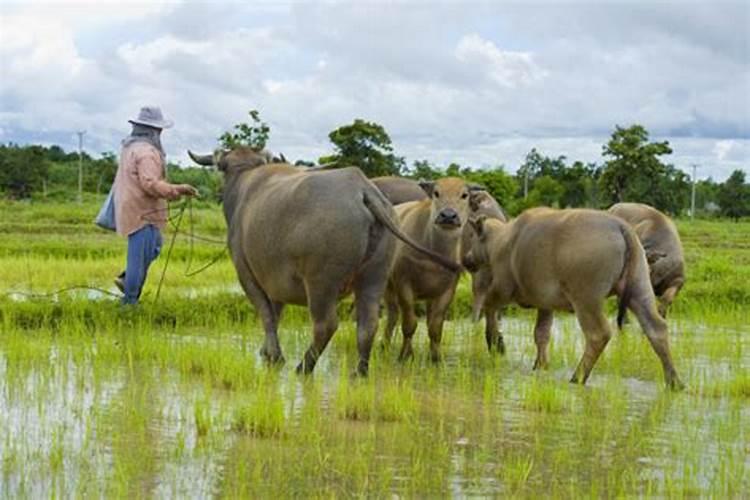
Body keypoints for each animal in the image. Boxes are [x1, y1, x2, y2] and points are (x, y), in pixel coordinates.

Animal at [187, 147, 464, 376]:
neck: (246, 182)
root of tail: (363, 190)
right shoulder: (274, 282)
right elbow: (275, 314)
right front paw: (266, 352)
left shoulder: (246, 273)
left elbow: (266, 314)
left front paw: (274, 356)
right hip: (375, 275)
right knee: (369, 323)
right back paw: (360, 371)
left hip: (321, 282)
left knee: (326, 325)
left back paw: (304, 366)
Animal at [468, 207, 684, 390]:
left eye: (473, 238)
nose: (467, 259)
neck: (502, 241)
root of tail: (622, 228)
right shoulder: (545, 305)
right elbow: (541, 334)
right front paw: (541, 365)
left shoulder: (502, 289)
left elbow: (489, 308)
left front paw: (496, 343)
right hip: (640, 289)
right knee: (656, 328)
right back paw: (674, 382)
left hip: (586, 299)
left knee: (598, 334)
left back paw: (577, 377)